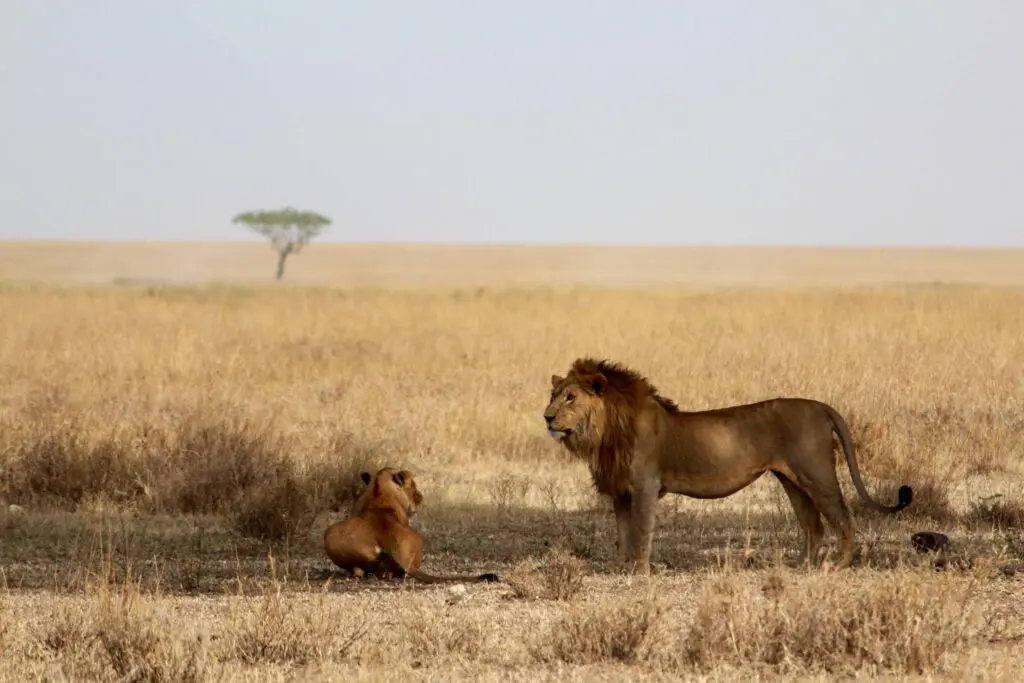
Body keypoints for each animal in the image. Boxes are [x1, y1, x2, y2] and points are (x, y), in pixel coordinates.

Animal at [323, 467, 500, 584]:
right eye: (414, 487)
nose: (421, 498)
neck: (379, 489)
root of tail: (388, 540)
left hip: (330, 534)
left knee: (361, 571)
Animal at [543, 357, 913, 574]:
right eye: (553, 396)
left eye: (571, 398)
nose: (546, 417)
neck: (607, 431)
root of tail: (821, 406)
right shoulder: (621, 491)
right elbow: (622, 532)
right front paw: (620, 567)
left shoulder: (646, 486)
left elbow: (641, 531)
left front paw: (640, 570)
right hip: (792, 479)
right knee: (813, 525)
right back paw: (798, 566)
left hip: (817, 473)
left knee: (843, 517)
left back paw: (838, 565)